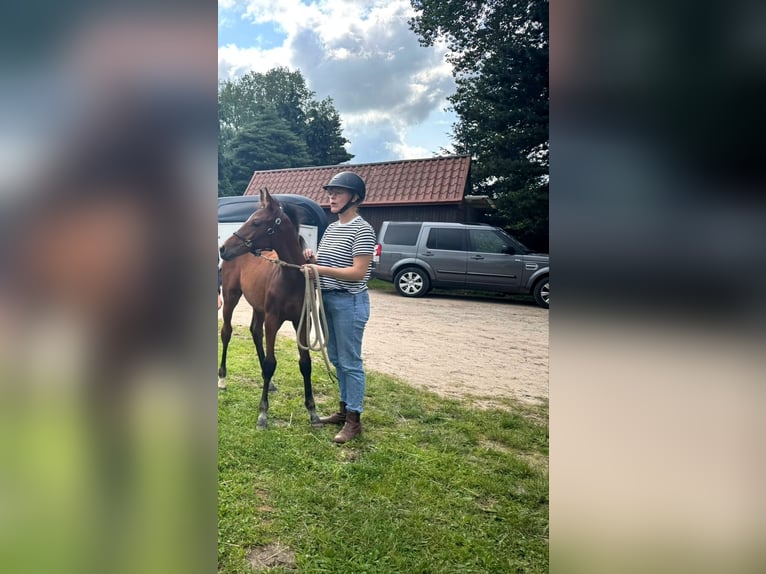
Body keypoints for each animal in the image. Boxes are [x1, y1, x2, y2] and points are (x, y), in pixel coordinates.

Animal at [218, 187, 320, 430]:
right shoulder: (274, 319)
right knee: (226, 332)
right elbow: (270, 363)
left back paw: (270, 384)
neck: (291, 278)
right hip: (231, 297)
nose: (223, 248)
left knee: (255, 332)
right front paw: (263, 413)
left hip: (258, 307)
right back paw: (222, 379)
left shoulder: (302, 321)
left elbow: (305, 363)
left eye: (256, 222)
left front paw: (312, 411)